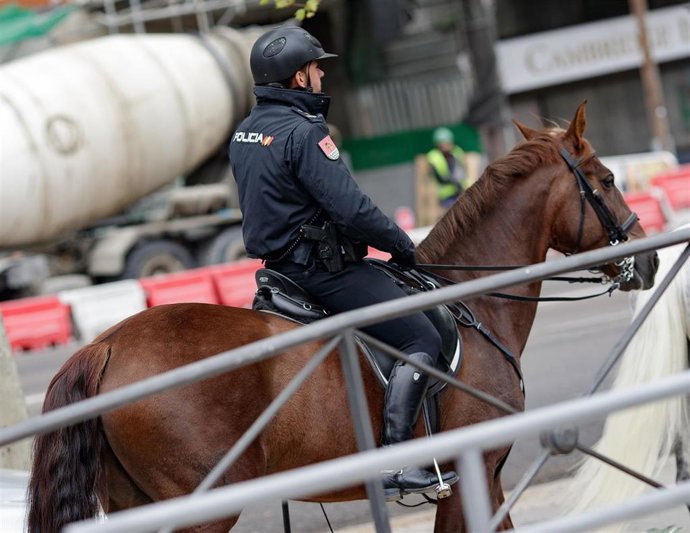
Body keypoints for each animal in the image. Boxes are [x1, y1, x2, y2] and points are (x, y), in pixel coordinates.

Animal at [27, 101, 659, 532]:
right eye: (607, 181)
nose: (648, 258)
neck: (472, 299)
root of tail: (104, 346)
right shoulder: (473, 474)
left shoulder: (491, 478)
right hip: (200, 508)